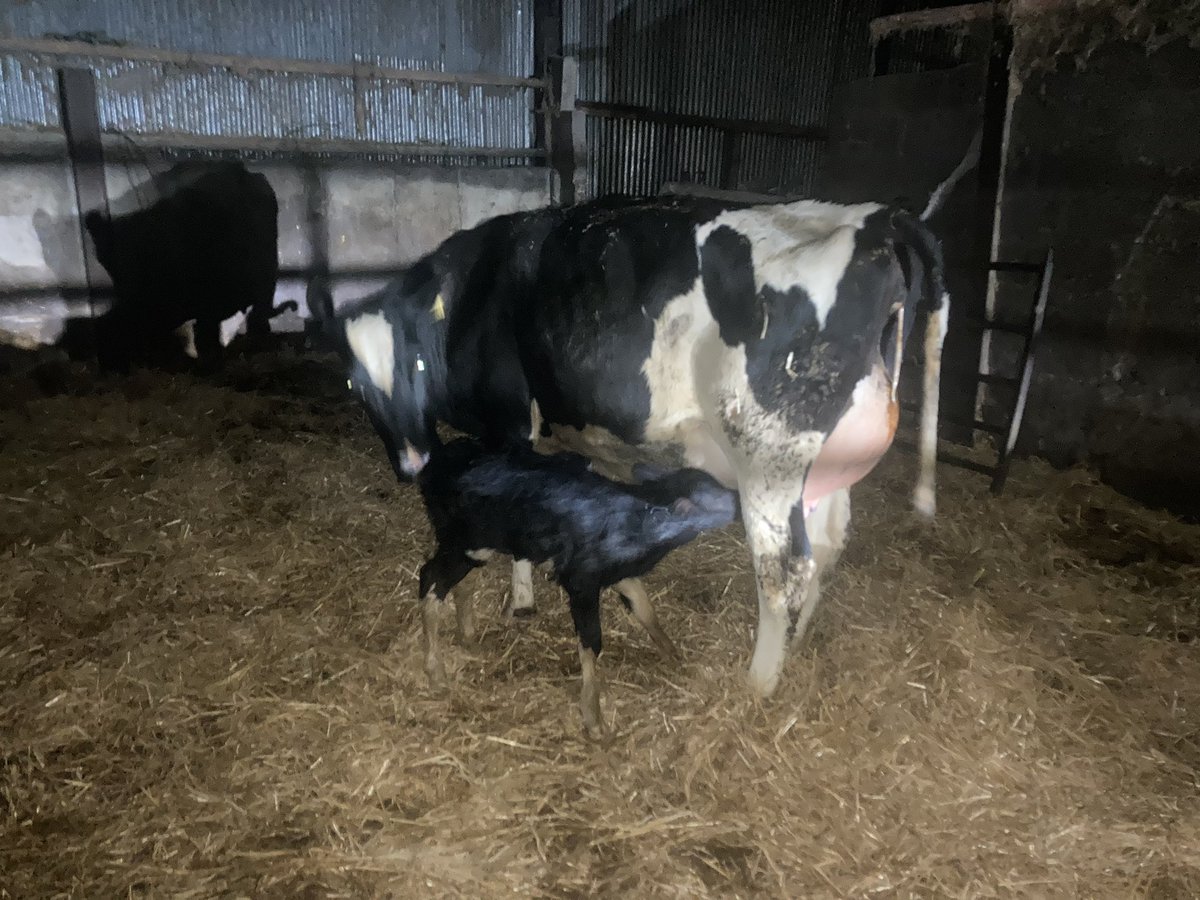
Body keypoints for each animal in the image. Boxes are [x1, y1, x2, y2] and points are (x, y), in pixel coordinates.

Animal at [319, 193, 948, 699]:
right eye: (352, 384)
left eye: (416, 363)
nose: (410, 464)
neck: (474, 295)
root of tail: (876, 218)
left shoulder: (510, 423)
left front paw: (520, 600)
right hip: (828, 467)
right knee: (829, 546)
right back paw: (796, 648)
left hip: (770, 459)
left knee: (784, 572)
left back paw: (759, 682)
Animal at [417, 436, 738, 737]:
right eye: (714, 499)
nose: (737, 498)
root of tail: (438, 462)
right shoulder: (581, 579)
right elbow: (592, 641)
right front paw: (594, 718)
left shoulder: (615, 572)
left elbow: (645, 608)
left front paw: (674, 655)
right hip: (465, 540)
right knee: (429, 579)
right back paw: (435, 673)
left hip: (477, 546)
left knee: (461, 584)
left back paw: (467, 636)